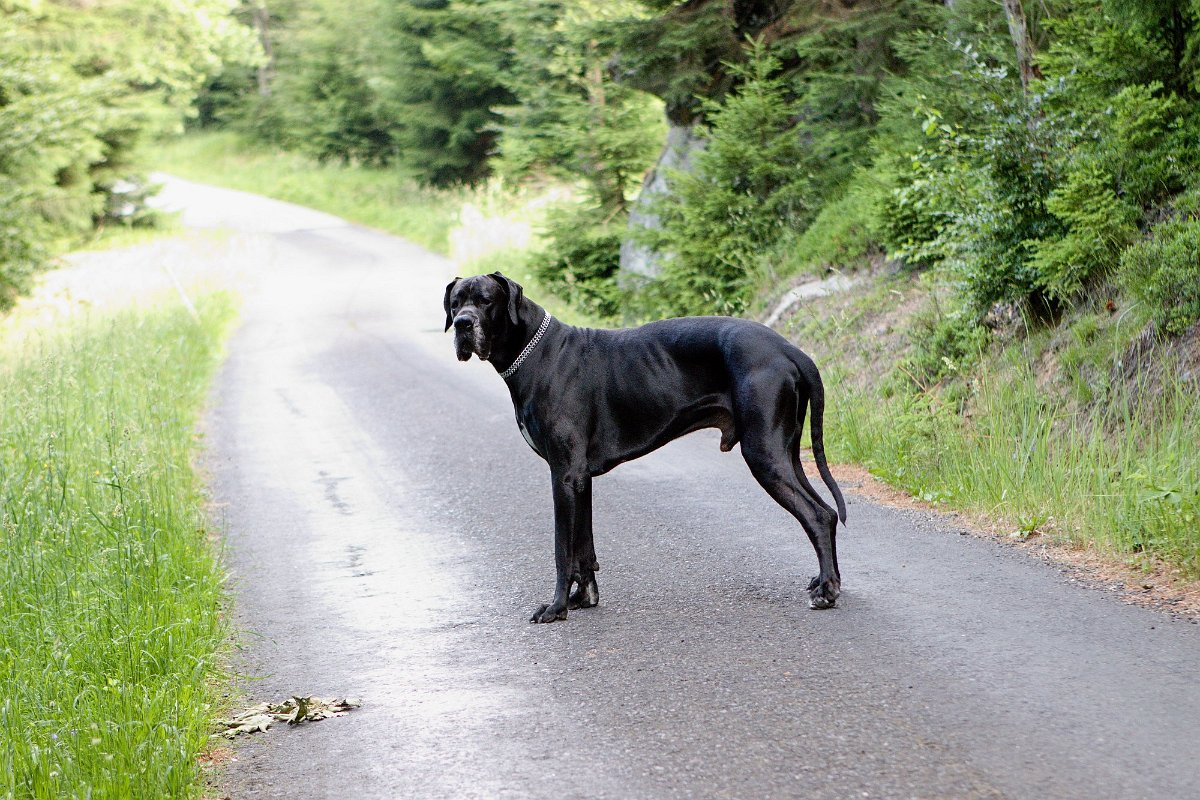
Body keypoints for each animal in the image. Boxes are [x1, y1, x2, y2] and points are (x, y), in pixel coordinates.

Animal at [446, 272, 849, 623]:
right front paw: (582, 598)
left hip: (764, 453)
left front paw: (556, 607)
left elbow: (563, 549)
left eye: (485, 300)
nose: (463, 324)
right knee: (826, 512)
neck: (535, 353)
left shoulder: (563, 474)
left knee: (817, 514)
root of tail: (789, 348)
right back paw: (826, 582)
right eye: (455, 303)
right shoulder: (580, 478)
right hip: (786, 452)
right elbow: (583, 547)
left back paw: (827, 592)